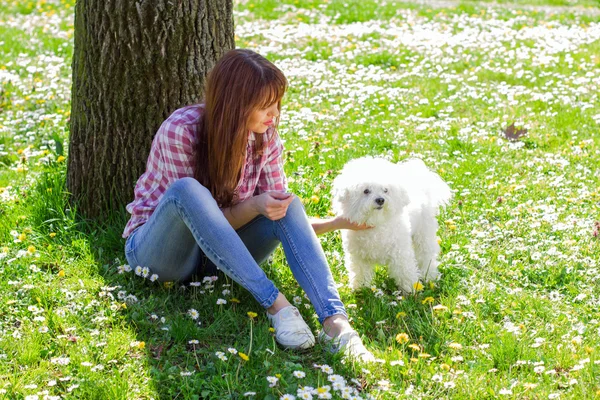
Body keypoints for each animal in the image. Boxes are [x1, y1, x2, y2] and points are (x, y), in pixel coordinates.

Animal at [330, 157, 452, 294]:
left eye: (385, 190)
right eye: (366, 191)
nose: (380, 200)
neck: (377, 224)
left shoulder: (400, 253)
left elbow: (405, 271)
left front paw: (411, 290)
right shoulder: (358, 257)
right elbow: (360, 272)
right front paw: (360, 288)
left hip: (424, 234)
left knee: (426, 256)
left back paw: (429, 276)